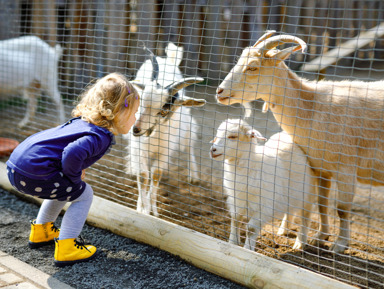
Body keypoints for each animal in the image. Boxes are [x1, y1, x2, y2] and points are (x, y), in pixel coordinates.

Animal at [124, 43, 206, 216]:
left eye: (162, 111)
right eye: (140, 103)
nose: (136, 129)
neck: (153, 135)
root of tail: (168, 59)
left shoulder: (165, 150)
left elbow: (156, 175)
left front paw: (152, 210)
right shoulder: (139, 147)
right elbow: (143, 175)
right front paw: (141, 208)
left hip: (186, 127)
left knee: (189, 146)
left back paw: (193, 175)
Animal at [210, 118, 316, 250]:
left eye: (233, 136)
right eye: (217, 135)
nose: (212, 150)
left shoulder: (264, 206)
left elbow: (250, 228)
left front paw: (247, 249)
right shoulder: (237, 200)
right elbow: (235, 219)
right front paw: (232, 243)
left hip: (308, 193)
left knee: (305, 217)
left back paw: (300, 243)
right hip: (289, 192)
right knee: (290, 211)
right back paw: (283, 230)